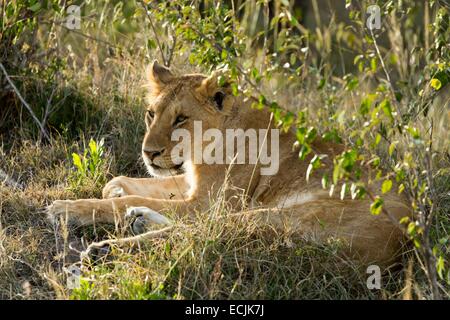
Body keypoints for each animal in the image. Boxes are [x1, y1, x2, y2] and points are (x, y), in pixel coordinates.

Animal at [49, 60, 412, 264]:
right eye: (152, 114)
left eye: (180, 119)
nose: (149, 152)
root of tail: (404, 242)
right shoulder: (193, 184)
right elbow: (147, 184)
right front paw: (115, 188)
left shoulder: (208, 202)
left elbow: (135, 198)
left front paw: (68, 208)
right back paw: (138, 220)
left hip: (275, 215)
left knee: (202, 234)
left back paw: (105, 249)